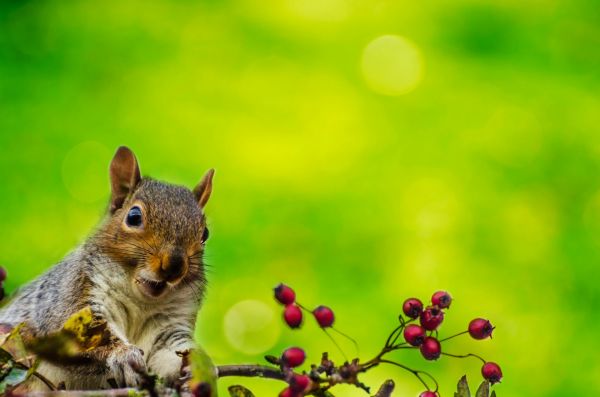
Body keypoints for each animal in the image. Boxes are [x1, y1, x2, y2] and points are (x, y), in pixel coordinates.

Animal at [0, 146, 214, 390]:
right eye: (134, 216)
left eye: (205, 234)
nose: (174, 265)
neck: (142, 303)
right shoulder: (73, 296)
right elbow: (81, 337)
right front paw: (123, 356)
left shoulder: (169, 325)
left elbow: (170, 351)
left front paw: (199, 366)